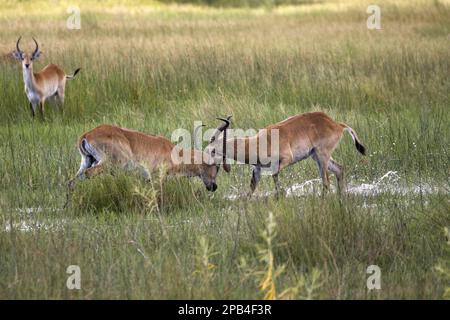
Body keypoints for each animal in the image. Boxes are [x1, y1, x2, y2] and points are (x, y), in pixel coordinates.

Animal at [69, 117, 232, 192]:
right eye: (217, 166)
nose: (214, 186)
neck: (170, 151)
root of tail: (87, 135)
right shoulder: (156, 177)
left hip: (86, 161)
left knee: (72, 181)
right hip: (106, 163)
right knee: (88, 174)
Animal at [209, 111, 368, 195]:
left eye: (212, 150)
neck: (260, 142)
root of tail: (336, 124)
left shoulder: (285, 160)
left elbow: (275, 178)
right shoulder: (258, 169)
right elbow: (251, 190)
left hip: (322, 157)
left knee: (326, 182)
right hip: (317, 156)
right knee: (339, 169)